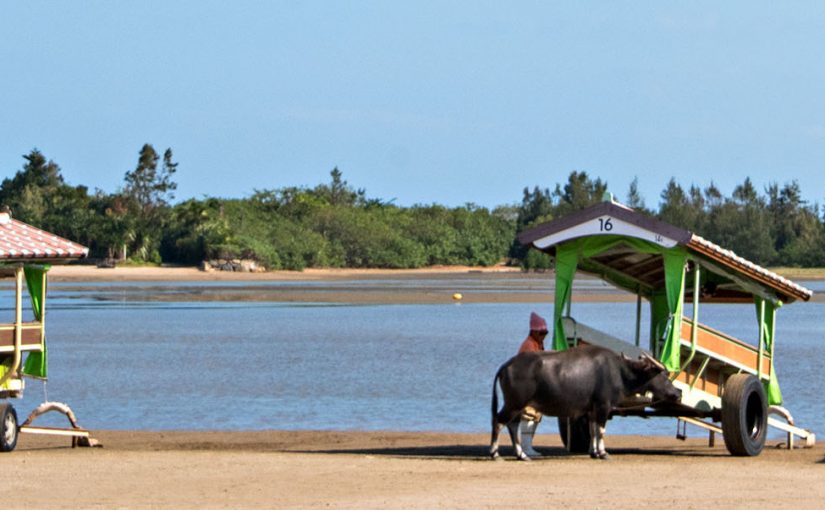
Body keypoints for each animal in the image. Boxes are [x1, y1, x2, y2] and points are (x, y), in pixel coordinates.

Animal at [492, 344, 680, 460]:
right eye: (664, 375)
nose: (677, 393)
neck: (619, 371)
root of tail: (507, 365)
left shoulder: (592, 409)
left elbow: (593, 430)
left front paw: (594, 452)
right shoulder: (604, 405)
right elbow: (601, 430)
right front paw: (603, 453)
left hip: (517, 406)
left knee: (512, 425)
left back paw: (521, 455)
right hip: (514, 403)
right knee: (499, 421)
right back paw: (496, 454)